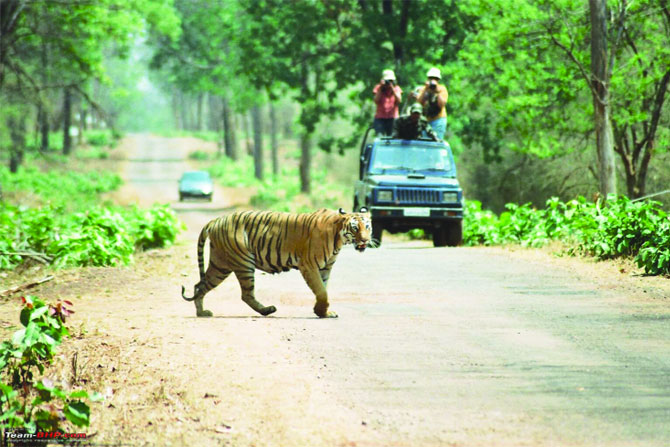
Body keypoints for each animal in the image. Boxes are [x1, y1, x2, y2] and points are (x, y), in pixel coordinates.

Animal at [184, 207, 372, 318]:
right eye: (355, 228)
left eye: (368, 227)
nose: (365, 240)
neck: (338, 238)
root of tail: (216, 220)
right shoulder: (309, 265)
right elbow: (321, 291)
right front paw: (321, 311)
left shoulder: (325, 268)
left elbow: (323, 289)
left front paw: (323, 312)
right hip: (243, 263)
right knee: (246, 294)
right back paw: (267, 310)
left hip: (220, 265)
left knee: (199, 285)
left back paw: (201, 312)